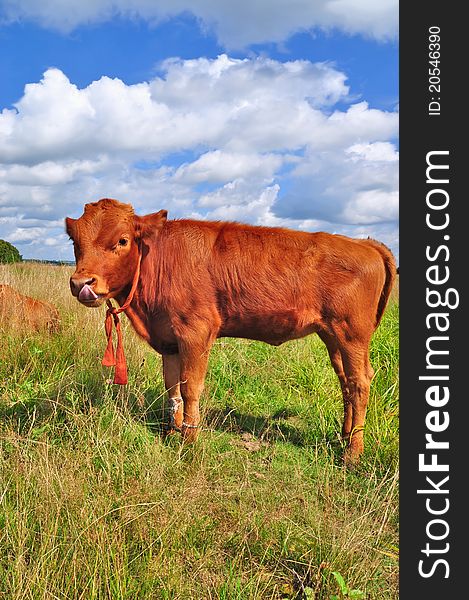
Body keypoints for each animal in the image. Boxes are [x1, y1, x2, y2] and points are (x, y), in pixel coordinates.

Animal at [66, 199, 394, 466]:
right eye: (75, 241)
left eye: (122, 240)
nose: (82, 283)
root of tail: (365, 243)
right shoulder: (169, 339)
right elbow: (172, 388)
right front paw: (171, 432)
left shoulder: (196, 332)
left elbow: (191, 387)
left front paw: (189, 439)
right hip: (332, 337)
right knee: (346, 384)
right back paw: (344, 437)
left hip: (352, 334)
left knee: (360, 382)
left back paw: (352, 453)